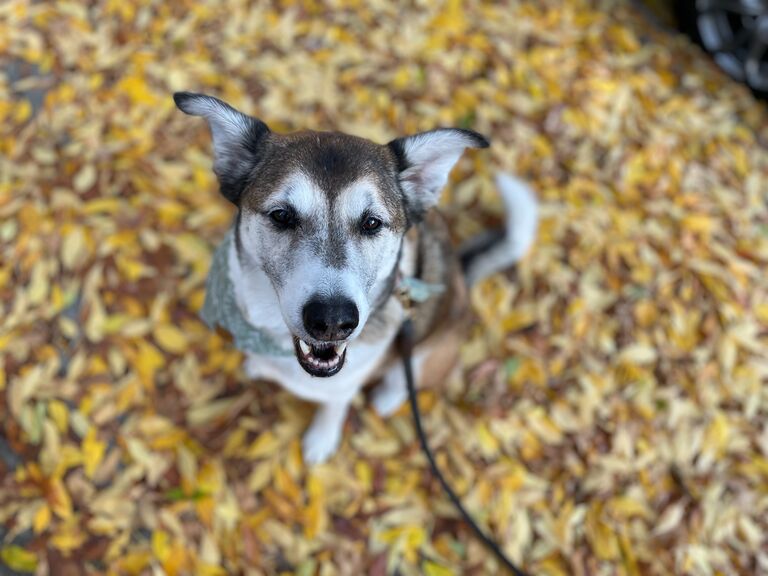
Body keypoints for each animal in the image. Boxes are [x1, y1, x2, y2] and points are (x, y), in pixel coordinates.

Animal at [173, 93, 536, 464]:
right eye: (282, 216)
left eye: (372, 223)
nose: (332, 321)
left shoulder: (343, 387)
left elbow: (334, 406)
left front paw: (321, 439)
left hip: (433, 353)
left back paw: (388, 397)